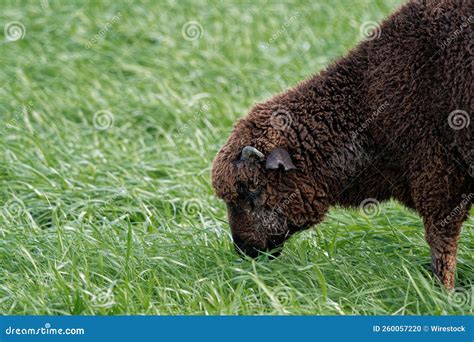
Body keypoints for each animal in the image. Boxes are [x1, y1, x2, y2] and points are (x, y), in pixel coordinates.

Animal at [213, 0, 472, 288]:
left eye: (252, 191)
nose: (244, 251)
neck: (366, 99)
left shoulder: (438, 177)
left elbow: (441, 243)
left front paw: (443, 289)